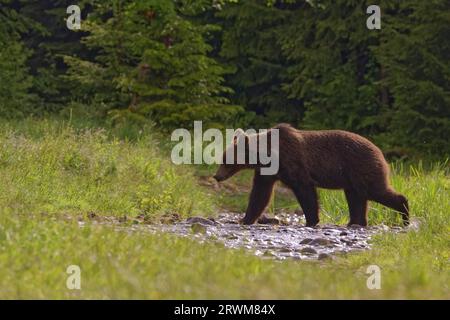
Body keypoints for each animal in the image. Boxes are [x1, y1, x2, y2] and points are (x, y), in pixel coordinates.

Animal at [213, 123, 410, 228]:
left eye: (225, 160)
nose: (216, 176)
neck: (267, 155)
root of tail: (380, 152)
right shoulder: (267, 172)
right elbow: (259, 194)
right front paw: (244, 219)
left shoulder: (293, 163)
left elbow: (305, 190)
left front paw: (311, 220)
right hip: (351, 178)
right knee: (356, 198)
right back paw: (354, 222)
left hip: (361, 167)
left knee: (375, 190)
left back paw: (405, 214)